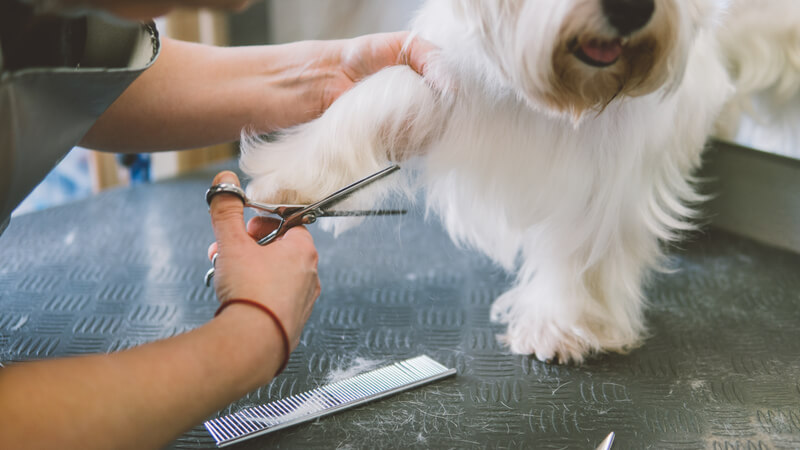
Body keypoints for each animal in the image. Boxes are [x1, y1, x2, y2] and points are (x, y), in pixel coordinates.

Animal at [241, 0, 780, 362]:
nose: (631, 10)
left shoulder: (612, 163)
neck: (566, 100)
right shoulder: (451, 73)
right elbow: (387, 90)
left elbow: (584, 246)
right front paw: (293, 181)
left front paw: (564, 325)